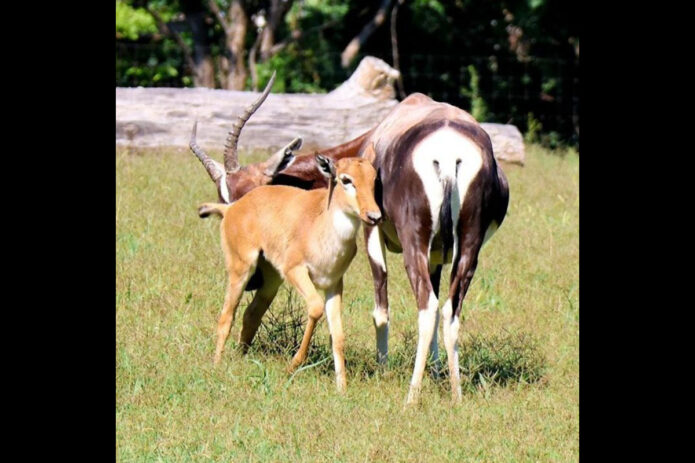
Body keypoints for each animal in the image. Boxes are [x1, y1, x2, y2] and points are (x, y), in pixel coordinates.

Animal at [198, 153, 384, 392]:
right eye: (346, 179)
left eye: (373, 179)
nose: (374, 216)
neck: (323, 227)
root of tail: (232, 208)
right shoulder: (296, 271)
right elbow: (315, 308)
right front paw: (293, 365)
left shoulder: (333, 284)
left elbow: (338, 335)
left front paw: (342, 388)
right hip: (241, 270)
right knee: (226, 316)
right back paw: (217, 366)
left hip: (271, 281)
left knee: (251, 313)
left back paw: (240, 356)